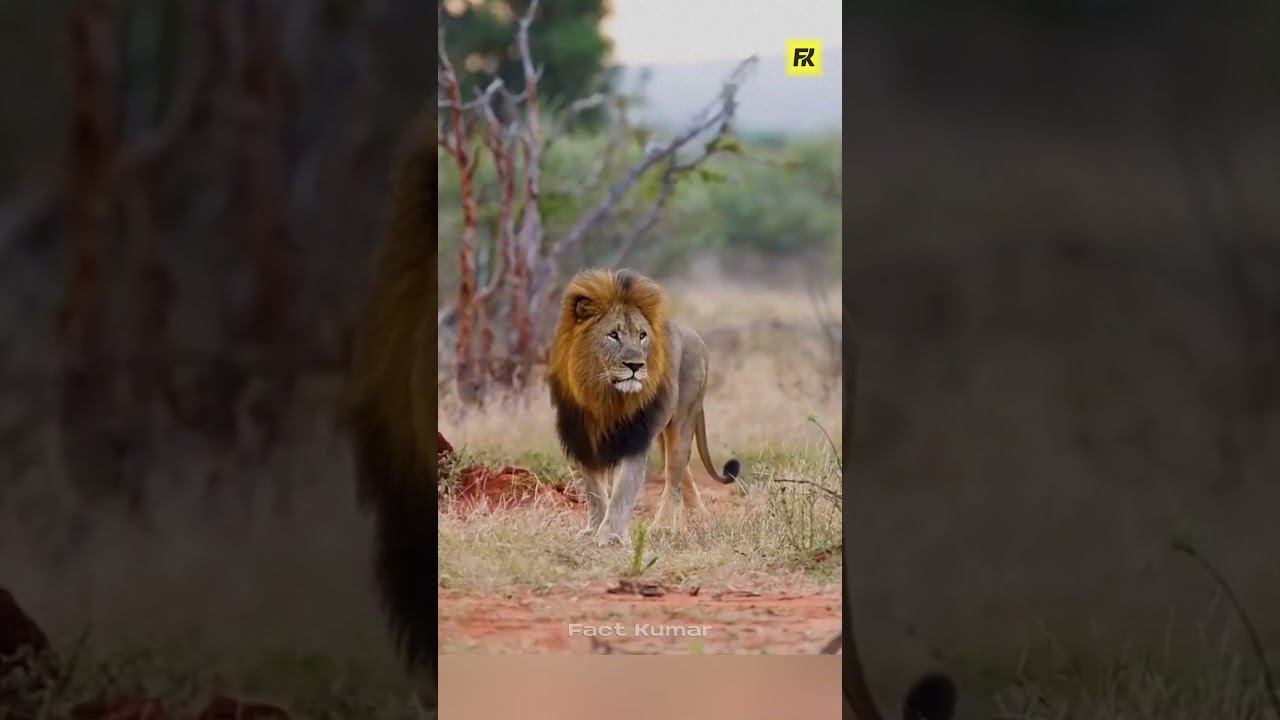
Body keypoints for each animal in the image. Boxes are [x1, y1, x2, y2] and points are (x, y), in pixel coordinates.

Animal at [546, 268, 741, 546]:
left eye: (642, 336)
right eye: (613, 335)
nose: (636, 365)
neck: (603, 396)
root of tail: (698, 340)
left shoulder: (634, 440)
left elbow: (623, 491)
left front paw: (611, 536)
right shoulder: (582, 438)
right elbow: (594, 491)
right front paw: (594, 529)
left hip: (681, 421)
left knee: (673, 477)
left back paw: (664, 527)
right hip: (660, 433)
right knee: (683, 475)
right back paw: (696, 519)